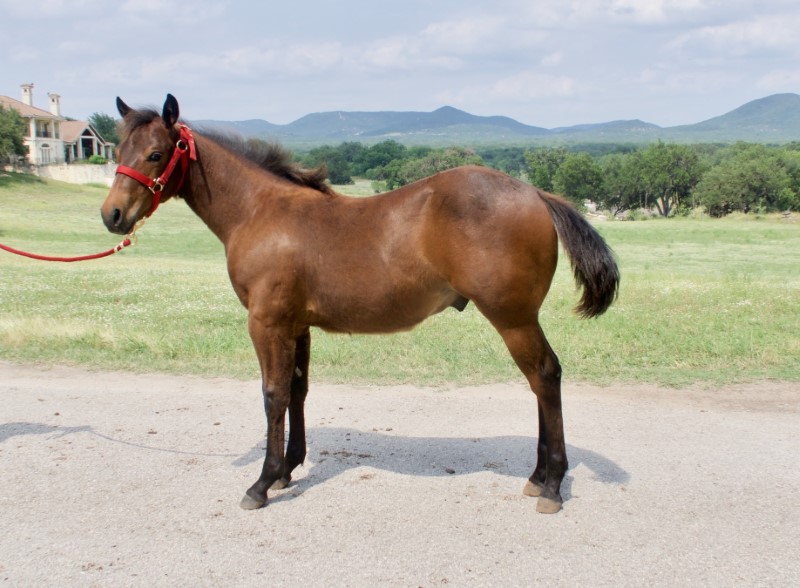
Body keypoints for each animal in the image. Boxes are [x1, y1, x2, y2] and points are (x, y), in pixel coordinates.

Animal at [101, 94, 620, 512]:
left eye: (156, 153)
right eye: (117, 152)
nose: (112, 215)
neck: (260, 211)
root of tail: (535, 192)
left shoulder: (267, 323)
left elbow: (272, 395)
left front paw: (262, 483)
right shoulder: (298, 325)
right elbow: (297, 391)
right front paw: (288, 469)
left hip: (513, 319)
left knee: (545, 376)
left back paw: (551, 485)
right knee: (540, 381)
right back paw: (537, 477)